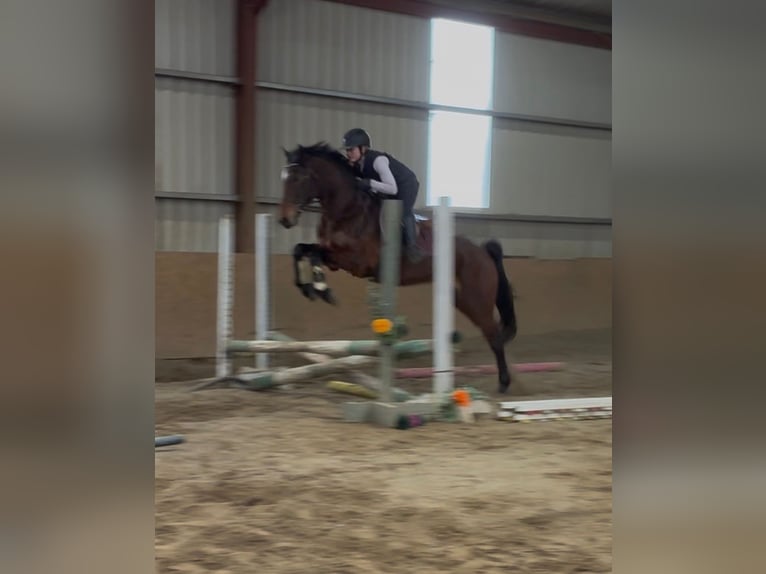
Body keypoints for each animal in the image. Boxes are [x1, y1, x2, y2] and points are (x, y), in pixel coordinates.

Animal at [277, 142, 518, 393]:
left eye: (298, 178)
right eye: (284, 178)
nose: (285, 219)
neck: (346, 210)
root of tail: (482, 252)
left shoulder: (356, 262)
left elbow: (314, 254)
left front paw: (323, 291)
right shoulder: (332, 257)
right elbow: (300, 249)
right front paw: (307, 288)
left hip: (476, 300)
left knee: (494, 335)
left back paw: (503, 383)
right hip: (459, 298)